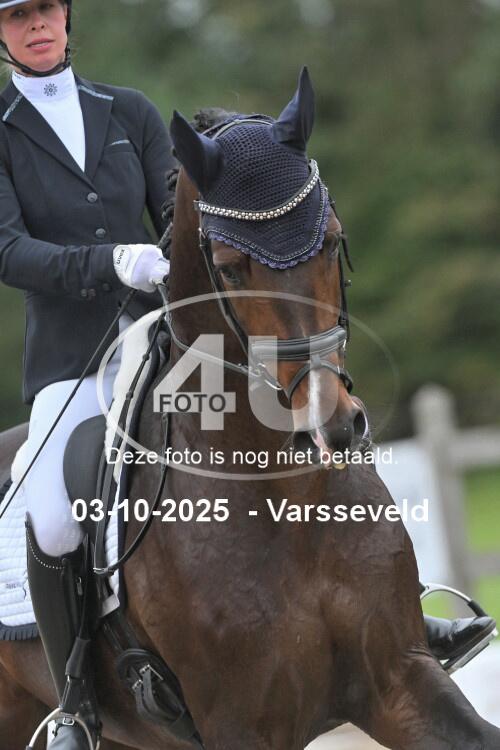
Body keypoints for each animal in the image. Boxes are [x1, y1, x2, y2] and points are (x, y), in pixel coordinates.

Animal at [0, 68, 499, 750]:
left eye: (332, 243)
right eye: (232, 269)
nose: (331, 428)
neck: (289, 496)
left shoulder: (400, 681)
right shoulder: (241, 724)